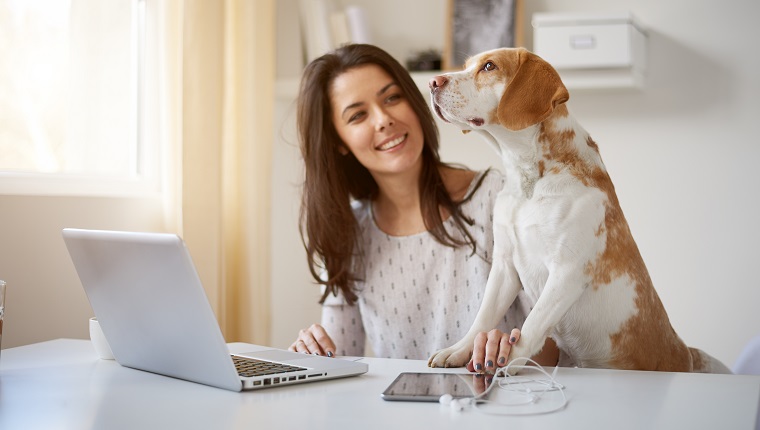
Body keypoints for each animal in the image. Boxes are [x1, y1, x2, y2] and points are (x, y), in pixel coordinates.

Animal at [428, 47, 732, 372]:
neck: (529, 181)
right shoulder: (505, 265)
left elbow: (531, 325)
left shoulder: (567, 271)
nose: (432, 82)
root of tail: (686, 354)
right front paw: (458, 351)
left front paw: (507, 361)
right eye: (466, 65)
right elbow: (482, 319)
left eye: (489, 66)